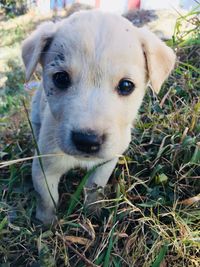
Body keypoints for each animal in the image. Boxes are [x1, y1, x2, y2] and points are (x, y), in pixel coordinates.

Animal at [21, 9, 175, 224]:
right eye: (60, 78)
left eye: (126, 85)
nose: (87, 141)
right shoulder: (44, 168)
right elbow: (46, 199)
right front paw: (46, 223)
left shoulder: (106, 163)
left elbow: (95, 188)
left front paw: (92, 212)